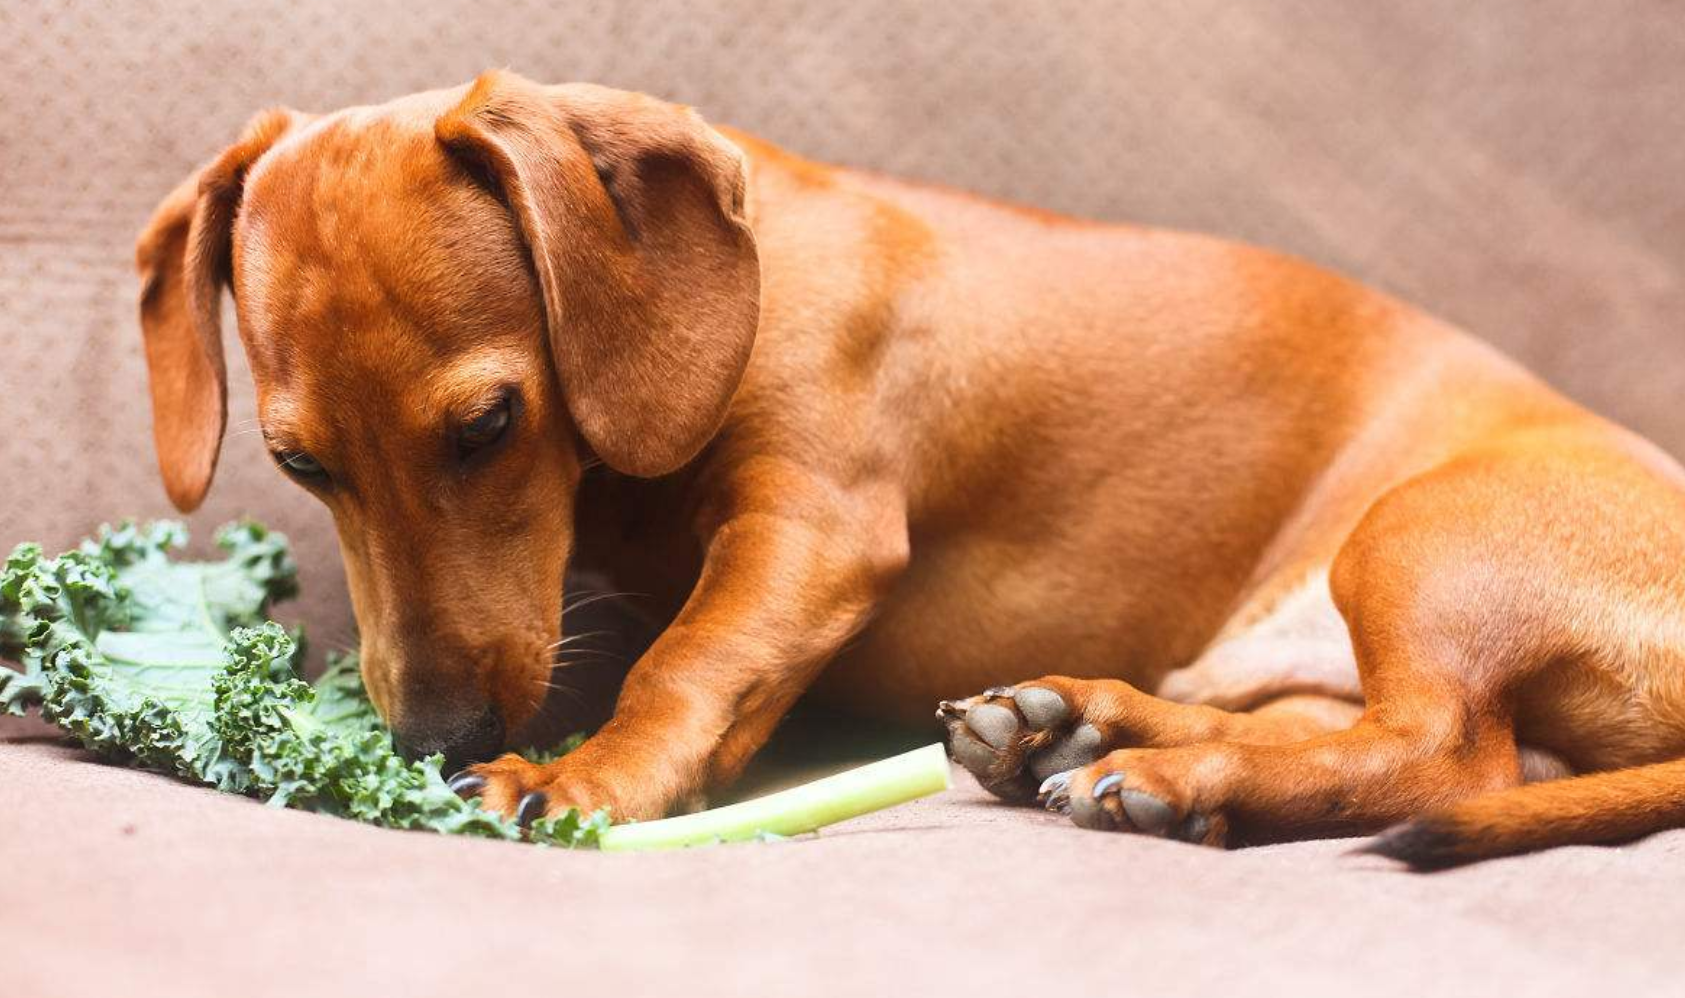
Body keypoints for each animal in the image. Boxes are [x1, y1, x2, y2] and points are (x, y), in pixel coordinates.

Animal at [134, 72, 1685, 863]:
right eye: (299, 460)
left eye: (486, 424)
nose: (429, 739)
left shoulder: (813, 529)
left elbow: (688, 661)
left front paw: (587, 779)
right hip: (1295, 648)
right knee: (1346, 727)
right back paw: (1079, 729)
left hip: (1415, 537)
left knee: (1451, 753)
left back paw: (1175, 779)